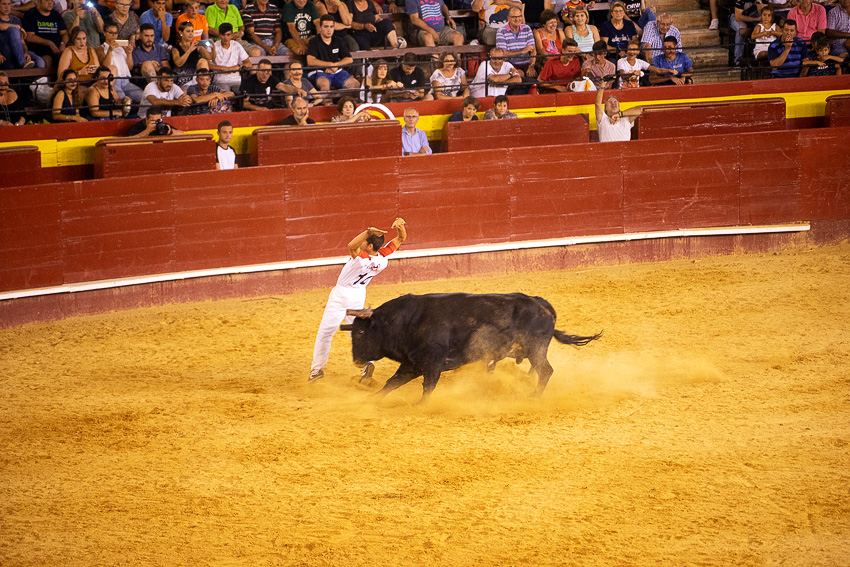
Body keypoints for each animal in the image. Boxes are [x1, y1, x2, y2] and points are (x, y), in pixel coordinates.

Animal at [340, 296, 604, 402]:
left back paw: (534, 396)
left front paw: (420, 405)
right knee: (538, 371)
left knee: (546, 371)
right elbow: (392, 383)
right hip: (531, 351)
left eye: (361, 333)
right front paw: (372, 399)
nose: (357, 361)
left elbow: (428, 385)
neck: (405, 322)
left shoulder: (432, 363)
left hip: (536, 349)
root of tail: (543, 305)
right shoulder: (412, 363)